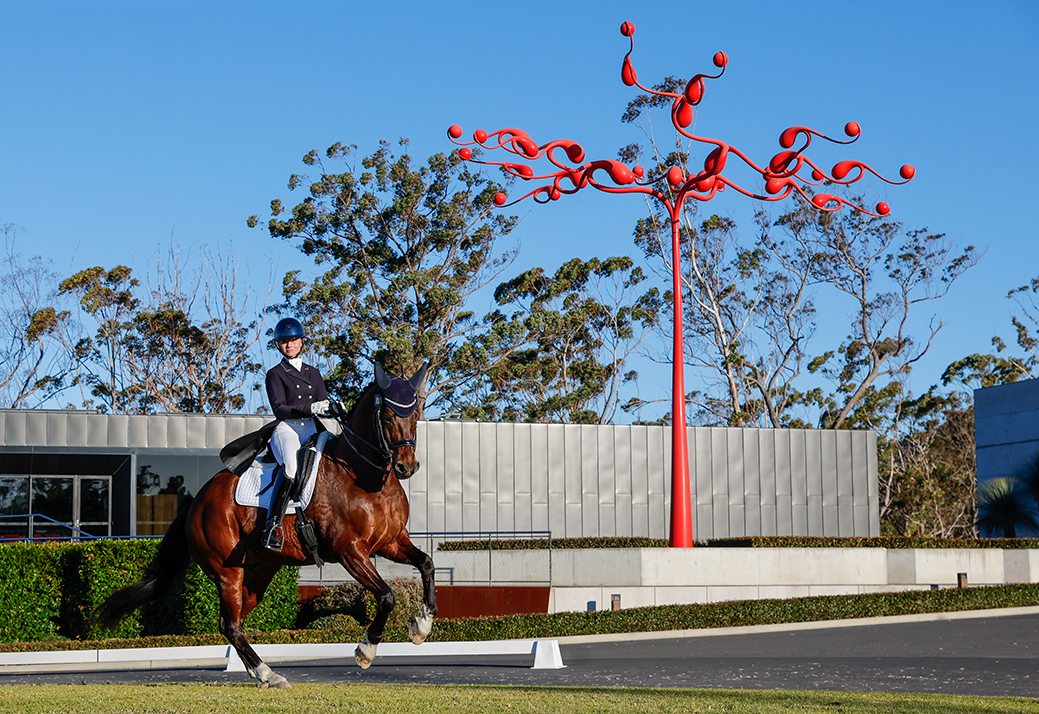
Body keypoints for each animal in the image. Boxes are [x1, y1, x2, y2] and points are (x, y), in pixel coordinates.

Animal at [99, 365, 432, 690]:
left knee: (233, 621)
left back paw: (256, 671)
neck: (365, 477)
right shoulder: (349, 551)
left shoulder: (391, 541)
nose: (406, 467)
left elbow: (426, 564)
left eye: (415, 414)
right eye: (387, 416)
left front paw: (423, 624)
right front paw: (366, 650)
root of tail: (197, 501)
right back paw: (267, 673)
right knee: (231, 623)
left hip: (258, 572)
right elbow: (386, 596)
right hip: (227, 572)